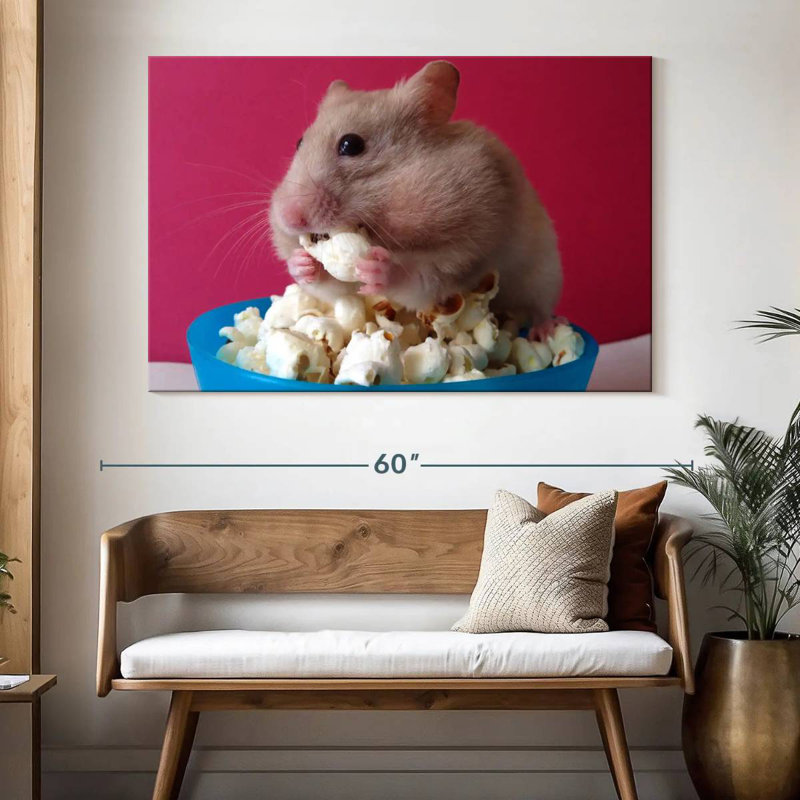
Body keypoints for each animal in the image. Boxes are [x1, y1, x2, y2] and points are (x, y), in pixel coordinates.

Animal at [269, 60, 562, 330]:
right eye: (299, 142)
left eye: (351, 145)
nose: (289, 217)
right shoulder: (343, 290)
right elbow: (334, 287)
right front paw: (302, 263)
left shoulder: (467, 251)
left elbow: (421, 279)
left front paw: (379, 270)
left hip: (544, 273)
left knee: (541, 307)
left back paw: (544, 332)